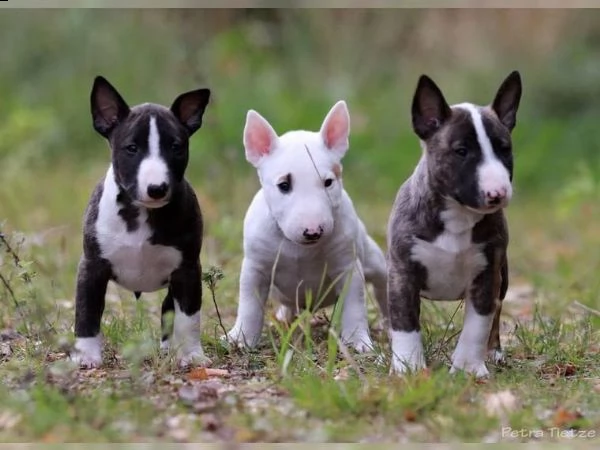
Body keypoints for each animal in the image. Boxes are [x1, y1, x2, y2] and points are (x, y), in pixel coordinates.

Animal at [72, 76, 212, 370]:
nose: (157, 188)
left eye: (176, 147)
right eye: (131, 148)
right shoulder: (91, 266)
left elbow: (189, 317)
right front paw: (85, 355)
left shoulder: (188, 270)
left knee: (169, 309)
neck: (142, 213)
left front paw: (192, 354)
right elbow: (87, 312)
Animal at [226, 101, 390, 352]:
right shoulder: (255, 268)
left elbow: (354, 306)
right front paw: (240, 338)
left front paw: (358, 343)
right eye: (283, 185)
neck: (298, 248)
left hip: (374, 259)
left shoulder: (348, 267)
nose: (313, 232)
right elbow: (249, 306)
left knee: (382, 287)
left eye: (328, 182)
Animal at [386, 72, 524, 378]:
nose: (498, 193)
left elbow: (478, 325)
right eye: (461, 151)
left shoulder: (487, 275)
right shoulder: (403, 272)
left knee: (496, 315)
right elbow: (405, 323)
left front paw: (468, 369)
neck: (459, 216)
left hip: (504, 276)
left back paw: (493, 351)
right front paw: (408, 368)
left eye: (505, 149)